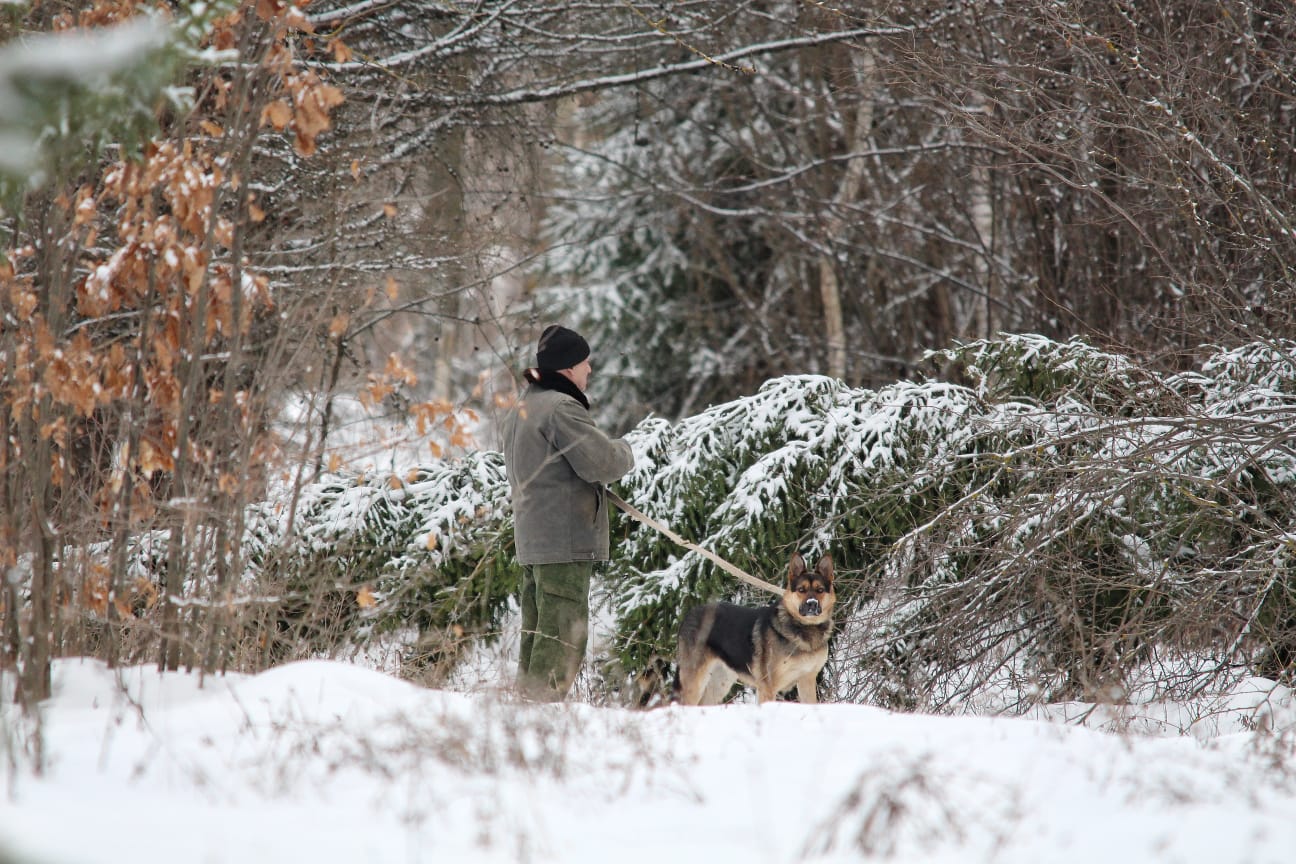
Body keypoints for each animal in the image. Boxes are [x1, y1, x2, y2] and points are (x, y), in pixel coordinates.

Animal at [673, 551, 834, 704]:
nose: (812, 604)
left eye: (820, 590)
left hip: (721, 680)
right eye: (801, 590)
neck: (805, 627)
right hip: (694, 682)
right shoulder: (768, 687)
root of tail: (689, 614)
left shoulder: (807, 680)